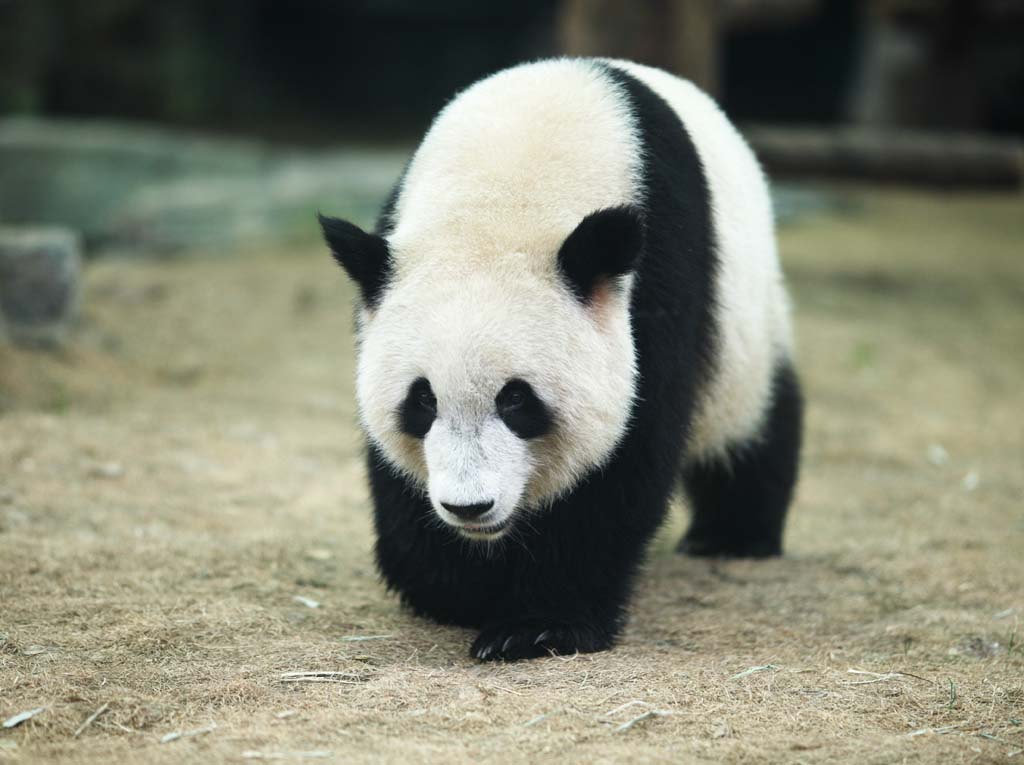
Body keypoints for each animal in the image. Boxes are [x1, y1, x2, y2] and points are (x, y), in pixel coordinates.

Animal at [319, 56, 798, 659]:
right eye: (422, 400)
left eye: (517, 400)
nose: (470, 507)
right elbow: (398, 478)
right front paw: (461, 587)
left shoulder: (656, 279)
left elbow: (623, 456)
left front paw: (536, 624)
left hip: (748, 313)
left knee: (751, 419)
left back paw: (731, 535)